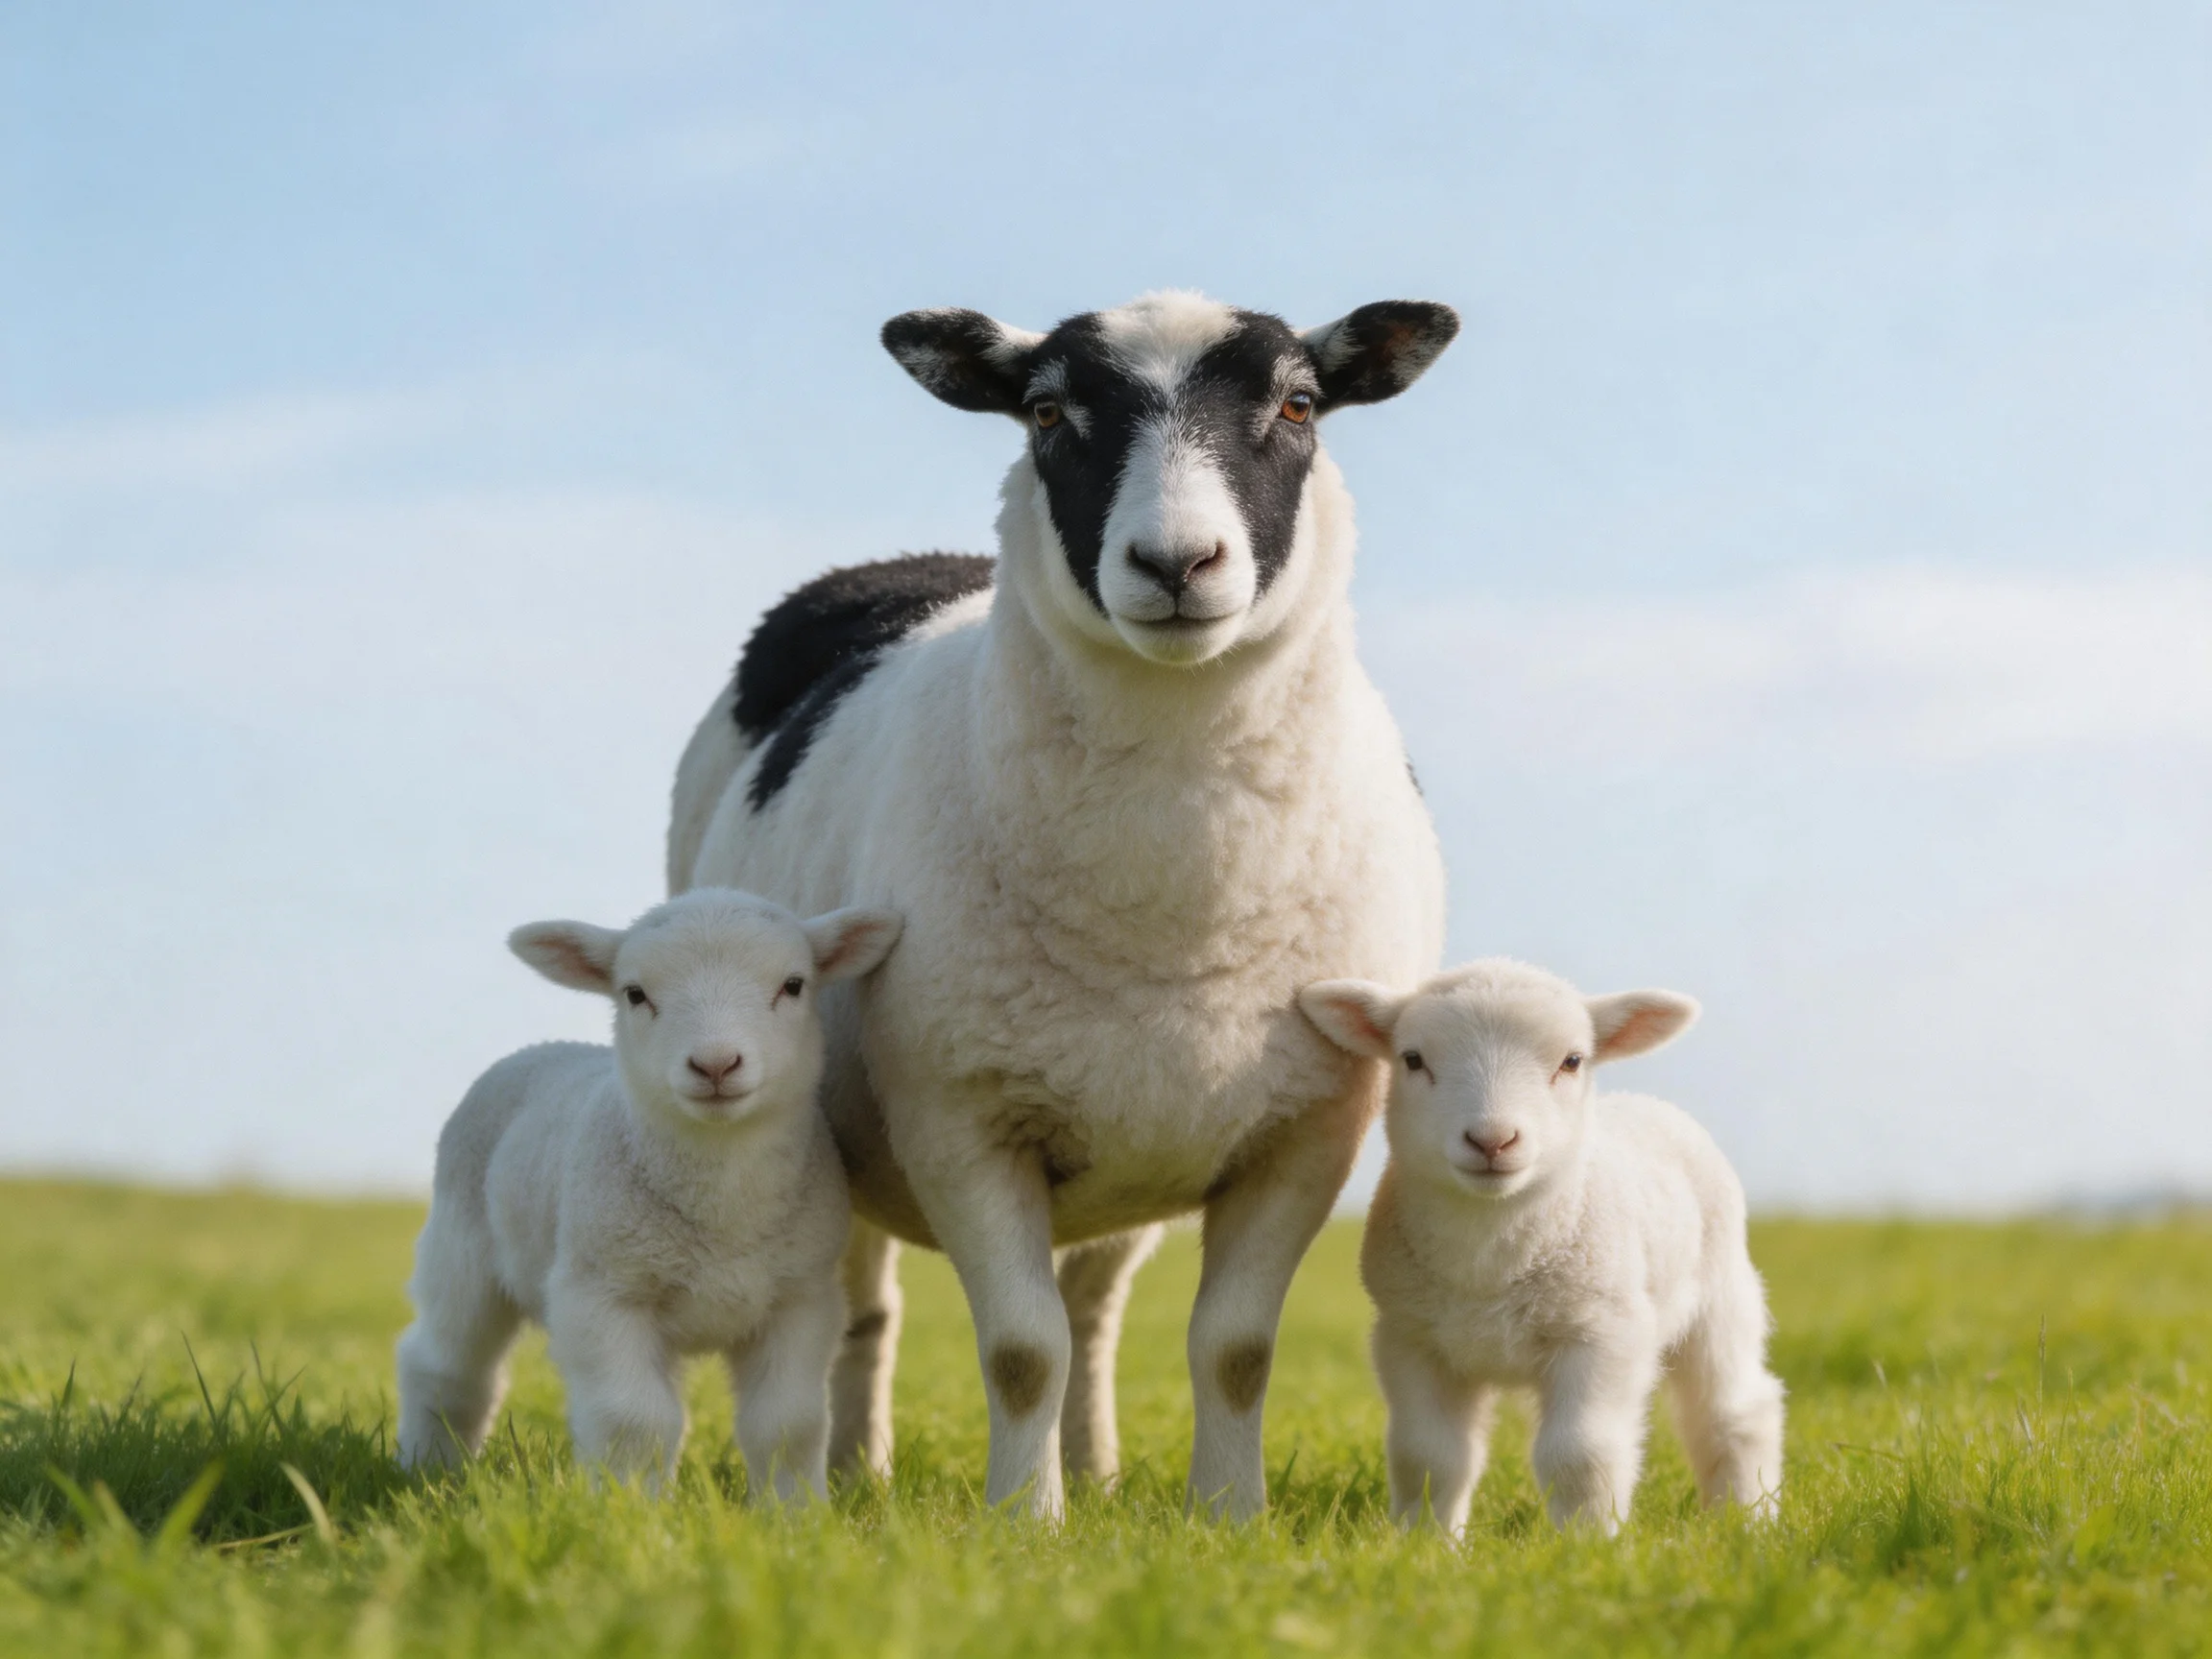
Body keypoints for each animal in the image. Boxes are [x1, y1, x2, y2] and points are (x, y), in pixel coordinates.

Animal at [394, 888, 901, 1501]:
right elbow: (633, 1421)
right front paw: (630, 1509)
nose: (715, 1064)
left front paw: (794, 1512)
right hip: (462, 1248)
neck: (722, 1205)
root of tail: (539, 1048)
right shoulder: (603, 1294)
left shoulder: (801, 1297)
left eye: (794, 984)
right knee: (444, 1365)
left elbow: (789, 1423)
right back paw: (429, 1469)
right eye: (635, 993)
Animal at [667, 292, 1460, 1519]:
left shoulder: (1305, 1130)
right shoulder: (959, 1118)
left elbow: (1233, 1350)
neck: (1173, 901)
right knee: (869, 1309)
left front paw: (1225, 1518)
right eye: (1046, 412)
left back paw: (1095, 1467)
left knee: (1093, 1310)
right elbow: (1018, 1352)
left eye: (1298, 404)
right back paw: (855, 1471)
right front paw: (1024, 1522)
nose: (1177, 561)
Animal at [1299, 959, 1785, 1536]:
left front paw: (1587, 1541)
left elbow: (1580, 1453)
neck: (1487, 1261)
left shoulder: (1601, 1332)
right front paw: (1428, 1542)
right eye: (1413, 1059)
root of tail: (1650, 1105)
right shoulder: (1411, 1338)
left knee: (1734, 1414)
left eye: (1572, 1061)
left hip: (1721, 1296)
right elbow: (1428, 1454)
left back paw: (1749, 1521)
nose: (1492, 1140)